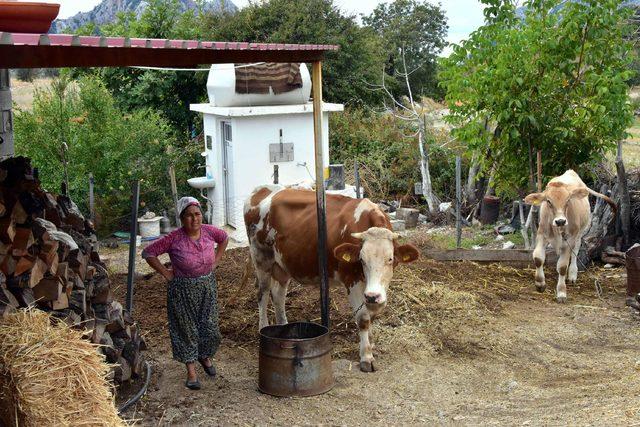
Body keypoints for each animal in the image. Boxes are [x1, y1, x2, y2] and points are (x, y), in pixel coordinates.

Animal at [242, 186, 418, 372]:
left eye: (390, 259)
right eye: (361, 259)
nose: (372, 296)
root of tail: (263, 189)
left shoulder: (378, 288)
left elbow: (373, 314)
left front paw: (370, 343)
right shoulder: (351, 279)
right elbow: (363, 318)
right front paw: (366, 357)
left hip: (282, 264)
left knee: (278, 295)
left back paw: (283, 325)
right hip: (261, 257)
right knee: (262, 293)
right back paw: (263, 327)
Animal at [524, 171, 616, 304]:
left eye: (567, 200)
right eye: (548, 201)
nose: (560, 221)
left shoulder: (570, 239)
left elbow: (562, 266)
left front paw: (561, 292)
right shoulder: (541, 234)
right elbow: (538, 258)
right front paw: (540, 284)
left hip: (580, 232)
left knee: (575, 251)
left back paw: (572, 274)